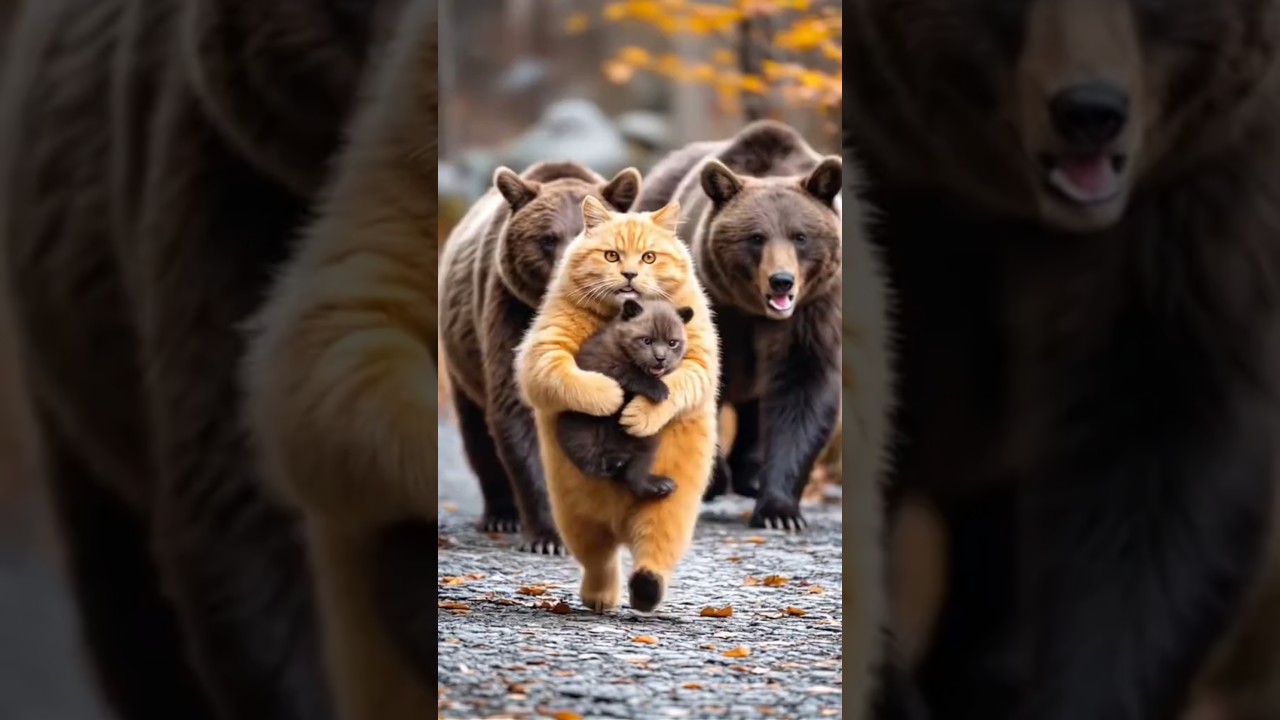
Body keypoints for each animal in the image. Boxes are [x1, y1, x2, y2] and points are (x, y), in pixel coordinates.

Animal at [434, 162, 642, 553]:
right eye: (548, 238)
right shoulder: (512, 314)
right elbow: (517, 413)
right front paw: (549, 536)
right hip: (461, 360)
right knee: (476, 433)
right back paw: (501, 514)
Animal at [554, 297, 695, 501]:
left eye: (672, 343)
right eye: (646, 340)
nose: (660, 358)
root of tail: (616, 449)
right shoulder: (601, 365)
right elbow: (629, 372)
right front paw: (659, 389)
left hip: (646, 440)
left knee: (633, 476)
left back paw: (657, 485)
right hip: (579, 427)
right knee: (591, 462)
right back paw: (611, 463)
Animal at [636, 120, 852, 531]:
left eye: (801, 236)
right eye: (756, 237)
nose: (782, 281)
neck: (754, 310)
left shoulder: (812, 313)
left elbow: (804, 390)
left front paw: (780, 511)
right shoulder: (716, 309)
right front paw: (711, 476)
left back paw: (750, 475)